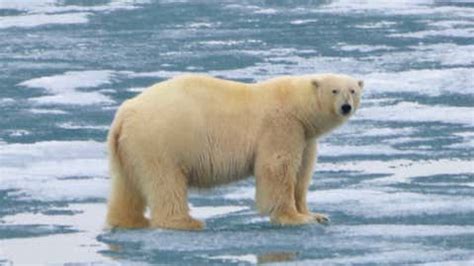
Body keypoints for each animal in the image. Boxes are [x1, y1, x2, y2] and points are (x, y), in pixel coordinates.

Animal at [106, 73, 362, 231]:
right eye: (334, 90)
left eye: (352, 90)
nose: (345, 107)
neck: (296, 103)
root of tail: (122, 116)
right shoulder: (280, 125)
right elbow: (277, 167)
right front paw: (295, 218)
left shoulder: (305, 136)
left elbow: (302, 173)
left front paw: (316, 215)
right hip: (161, 140)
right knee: (165, 181)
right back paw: (185, 222)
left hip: (130, 147)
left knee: (126, 185)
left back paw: (128, 220)